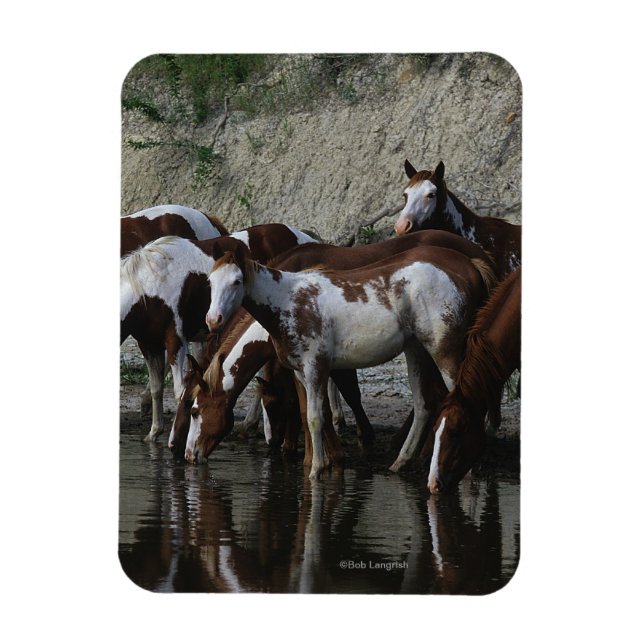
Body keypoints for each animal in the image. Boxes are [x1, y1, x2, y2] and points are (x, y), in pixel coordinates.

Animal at [120, 223, 318, 442]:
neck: (149, 286)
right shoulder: (148, 344)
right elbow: (157, 388)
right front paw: (154, 432)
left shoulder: (176, 341)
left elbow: (180, 391)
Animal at [181, 230, 497, 466]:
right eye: (210, 281)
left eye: (195, 411)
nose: (213, 319)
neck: (287, 300)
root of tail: (471, 263)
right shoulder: (299, 371)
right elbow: (307, 412)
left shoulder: (317, 368)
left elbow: (321, 413)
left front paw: (326, 463)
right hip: (417, 351)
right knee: (425, 403)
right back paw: (403, 461)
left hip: (445, 352)